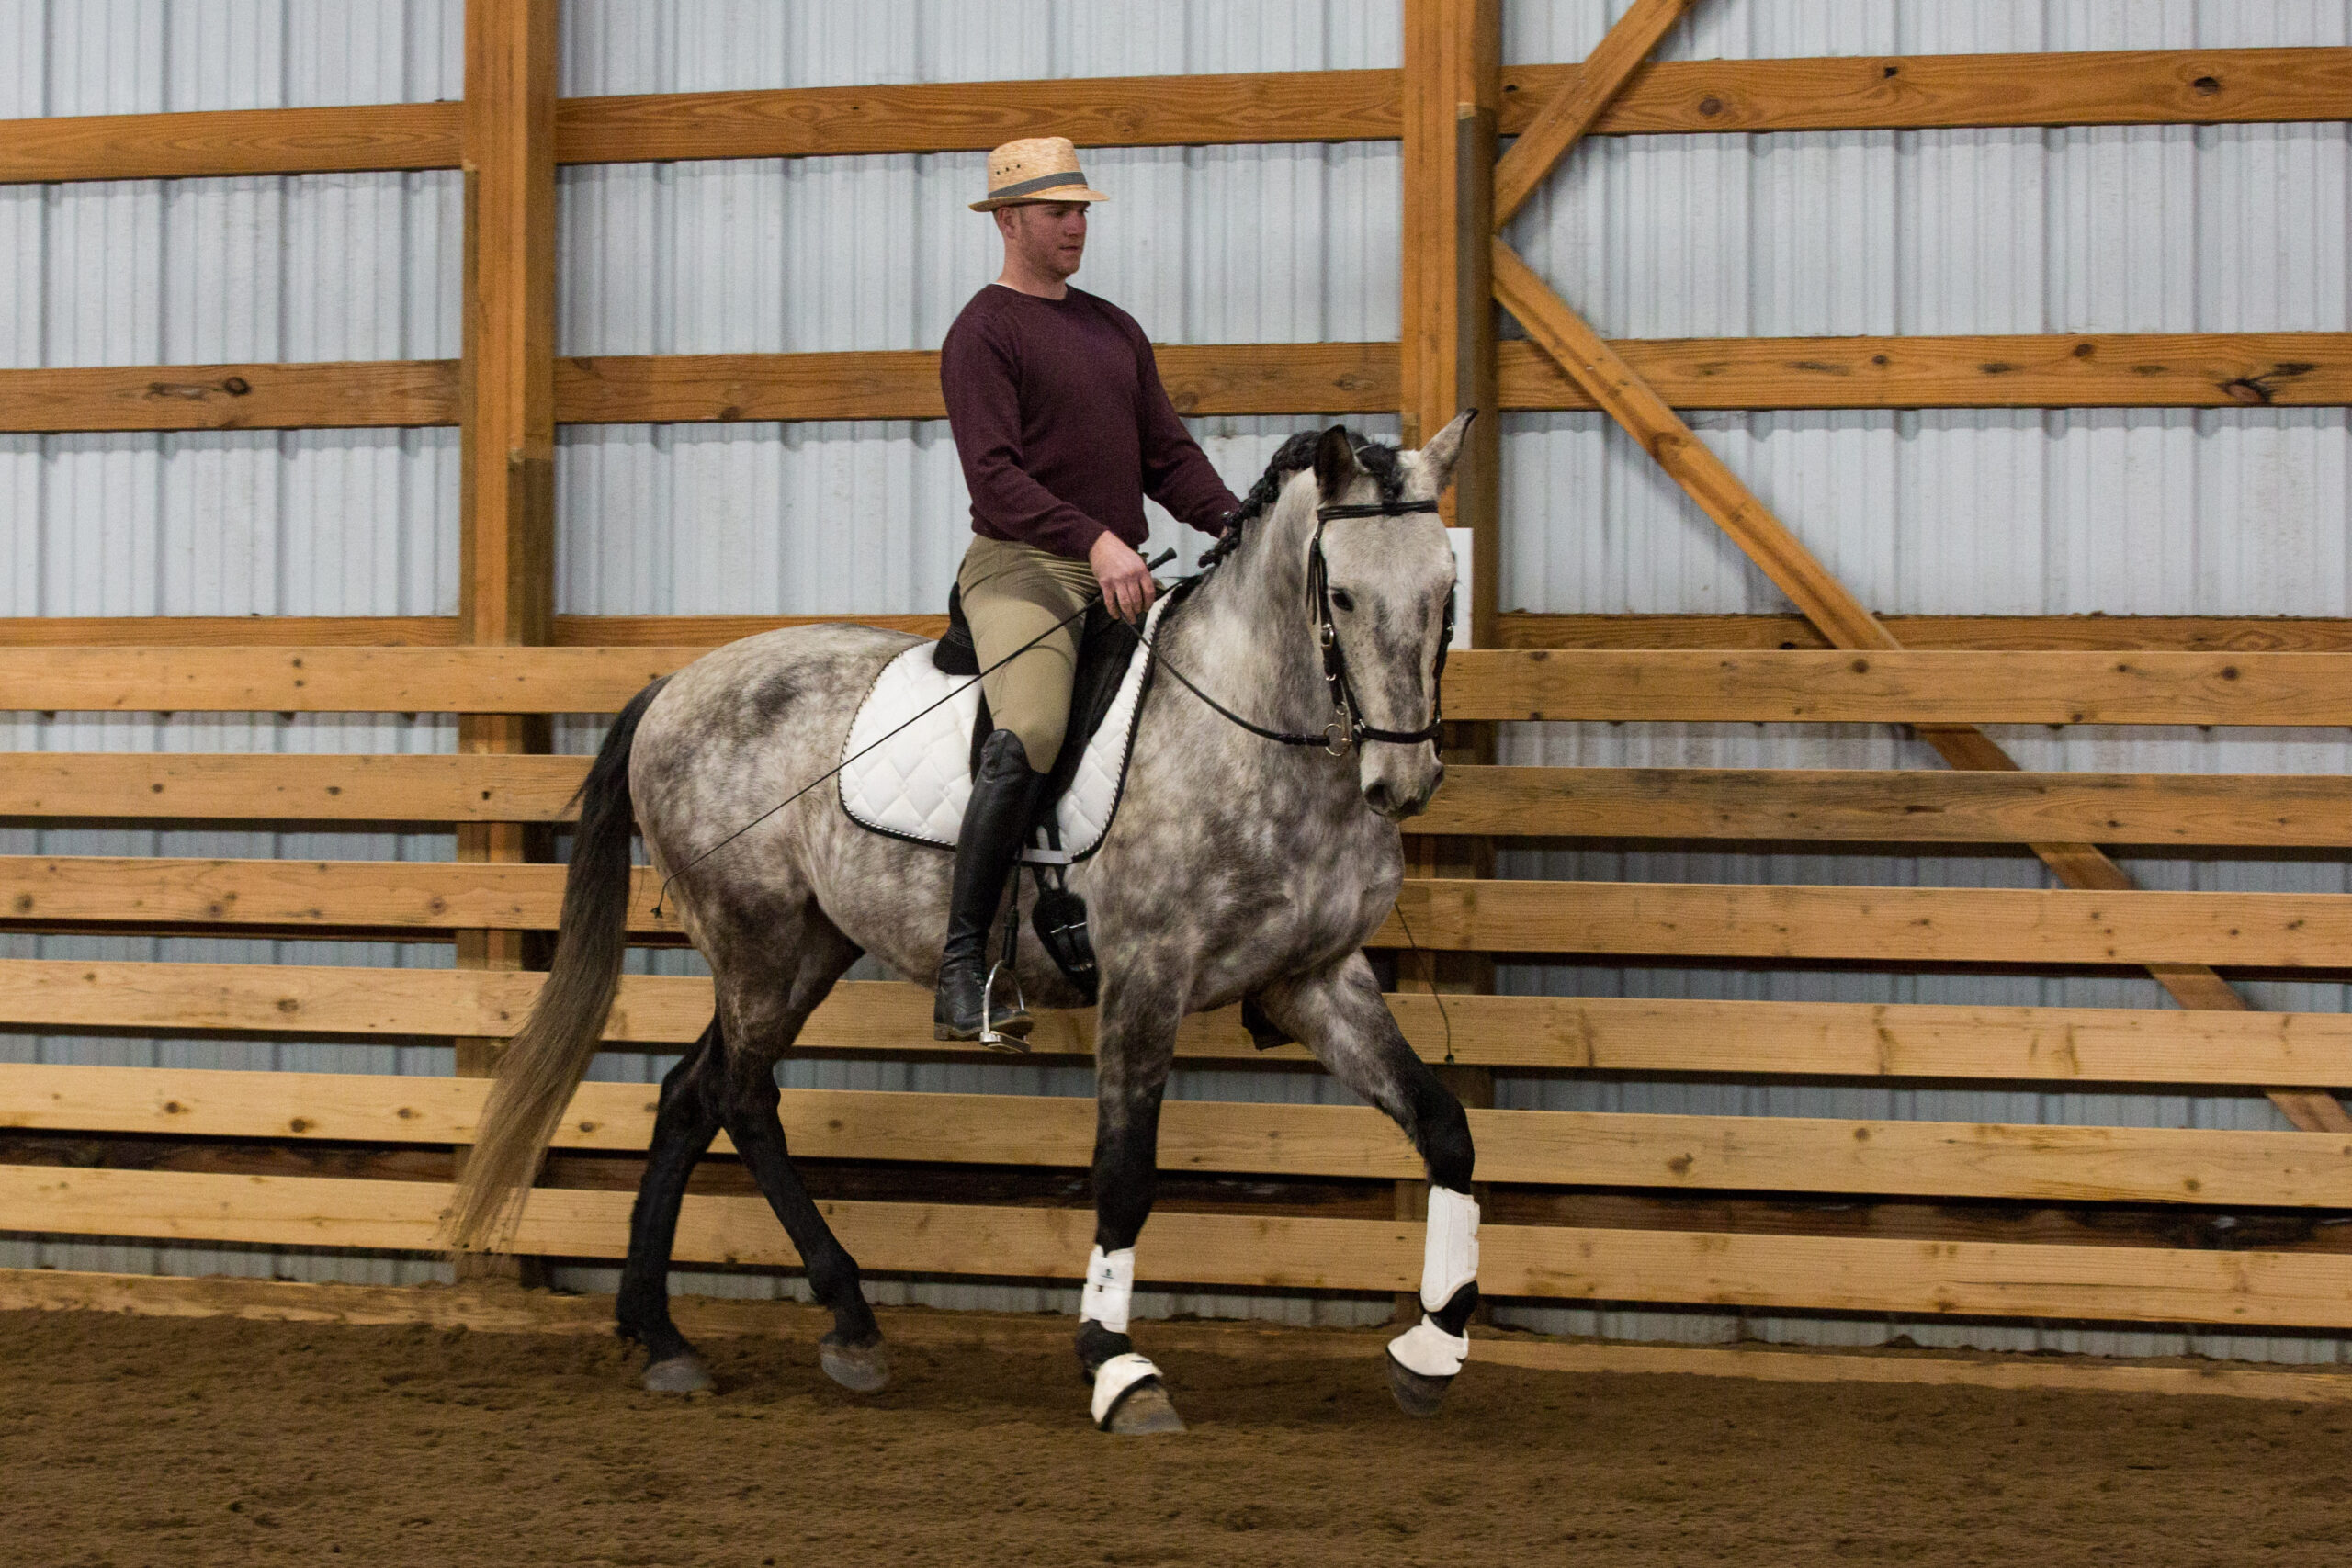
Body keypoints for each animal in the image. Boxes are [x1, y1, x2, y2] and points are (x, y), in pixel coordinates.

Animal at [447, 413, 1476, 1438]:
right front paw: (1118, 1366)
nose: (1403, 782)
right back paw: (840, 1321)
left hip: (805, 949)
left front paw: (1432, 1349)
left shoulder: (1316, 978)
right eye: (1339, 594)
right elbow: (1124, 1173)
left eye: (1445, 590)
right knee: (740, 1097)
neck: (1254, 731)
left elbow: (1444, 1125)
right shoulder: (1147, 979)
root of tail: (672, 686)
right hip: (756, 941)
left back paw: (667, 1334)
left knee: (691, 1095)